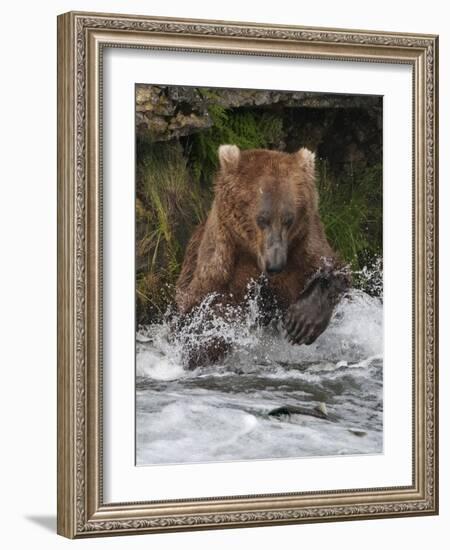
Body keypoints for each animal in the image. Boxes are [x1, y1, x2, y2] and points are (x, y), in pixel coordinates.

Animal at [174, 146, 350, 366]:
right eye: (262, 219)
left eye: (288, 219)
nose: (275, 264)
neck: (252, 253)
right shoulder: (222, 263)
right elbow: (202, 312)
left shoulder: (303, 248)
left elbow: (332, 270)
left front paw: (301, 322)